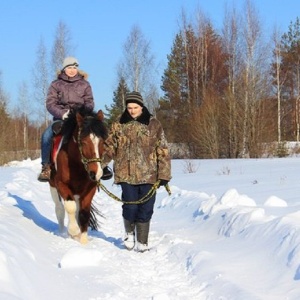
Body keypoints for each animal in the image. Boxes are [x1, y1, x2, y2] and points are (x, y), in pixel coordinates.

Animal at [47, 108, 107, 244]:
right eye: (83, 142)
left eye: (102, 142)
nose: (96, 173)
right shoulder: (61, 185)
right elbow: (70, 207)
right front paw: (73, 231)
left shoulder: (90, 188)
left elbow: (83, 214)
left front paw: (83, 241)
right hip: (53, 186)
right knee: (60, 209)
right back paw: (63, 232)